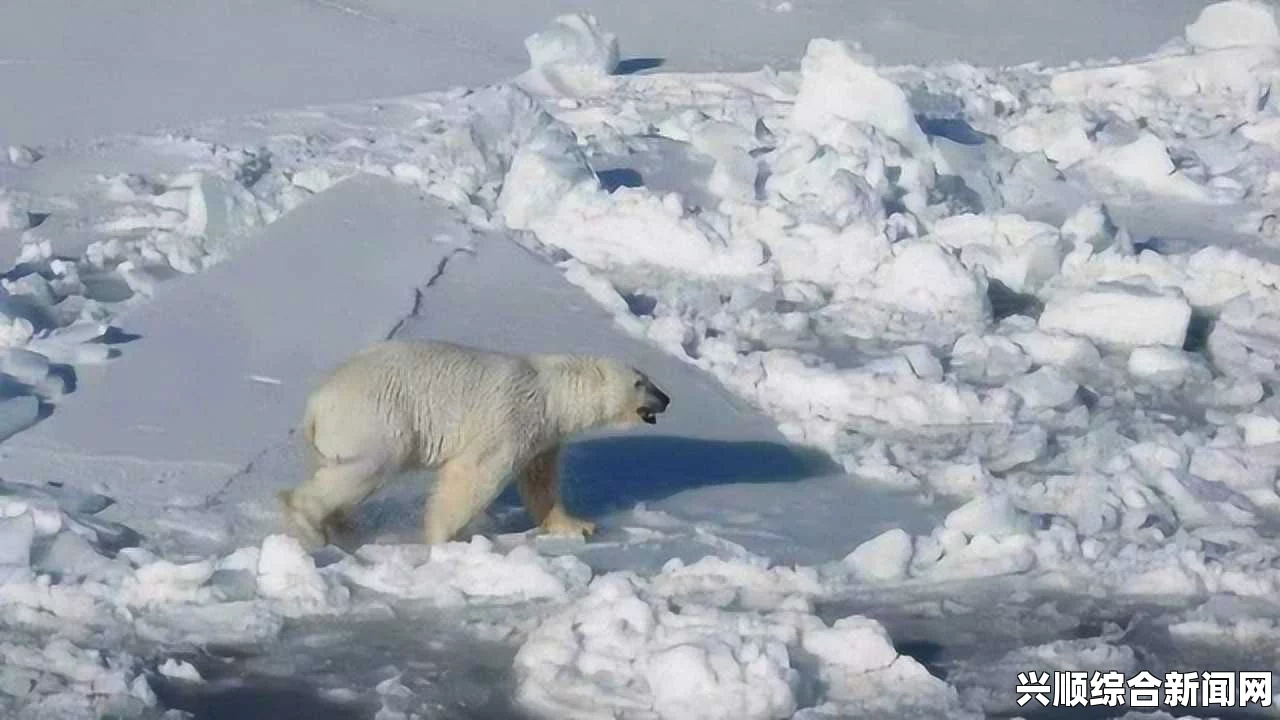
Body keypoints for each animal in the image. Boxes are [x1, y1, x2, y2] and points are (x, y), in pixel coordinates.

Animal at [277, 338, 670, 545]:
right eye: (641, 382)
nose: (666, 398)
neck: (552, 391)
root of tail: (315, 404)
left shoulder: (543, 437)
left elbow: (541, 483)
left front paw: (577, 525)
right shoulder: (512, 417)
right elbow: (475, 473)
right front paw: (442, 537)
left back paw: (340, 526)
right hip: (376, 419)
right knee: (366, 468)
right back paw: (308, 522)